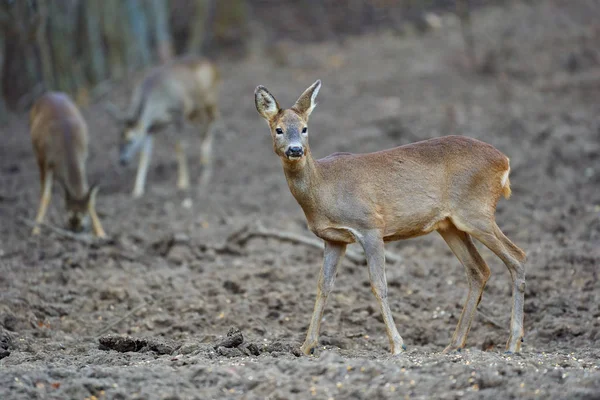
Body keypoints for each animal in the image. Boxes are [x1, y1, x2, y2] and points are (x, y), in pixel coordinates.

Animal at [29, 91, 105, 238]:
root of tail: (50, 93)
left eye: (83, 218)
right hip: (37, 153)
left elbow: (89, 197)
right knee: (43, 189)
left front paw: (101, 233)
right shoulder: (46, 161)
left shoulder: (83, 159)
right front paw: (36, 230)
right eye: (69, 219)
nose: (74, 233)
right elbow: (46, 196)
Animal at [106, 57, 221, 198]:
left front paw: (183, 183)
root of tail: (214, 67)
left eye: (130, 140)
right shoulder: (150, 129)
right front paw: (137, 191)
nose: (122, 161)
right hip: (193, 110)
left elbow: (179, 147)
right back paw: (203, 161)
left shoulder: (178, 115)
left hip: (209, 98)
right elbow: (145, 155)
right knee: (204, 125)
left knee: (213, 119)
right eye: (118, 140)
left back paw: (206, 165)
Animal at [255, 79, 528, 354]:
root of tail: (504, 161)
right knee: (479, 269)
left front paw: (397, 345)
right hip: (450, 225)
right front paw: (306, 347)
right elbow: (323, 286)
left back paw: (513, 343)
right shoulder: (334, 239)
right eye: (278, 129)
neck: (324, 188)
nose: (295, 150)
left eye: (304, 128)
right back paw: (454, 345)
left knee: (517, 256)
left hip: (476, 211)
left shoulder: (370, 226)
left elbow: (379, 285)